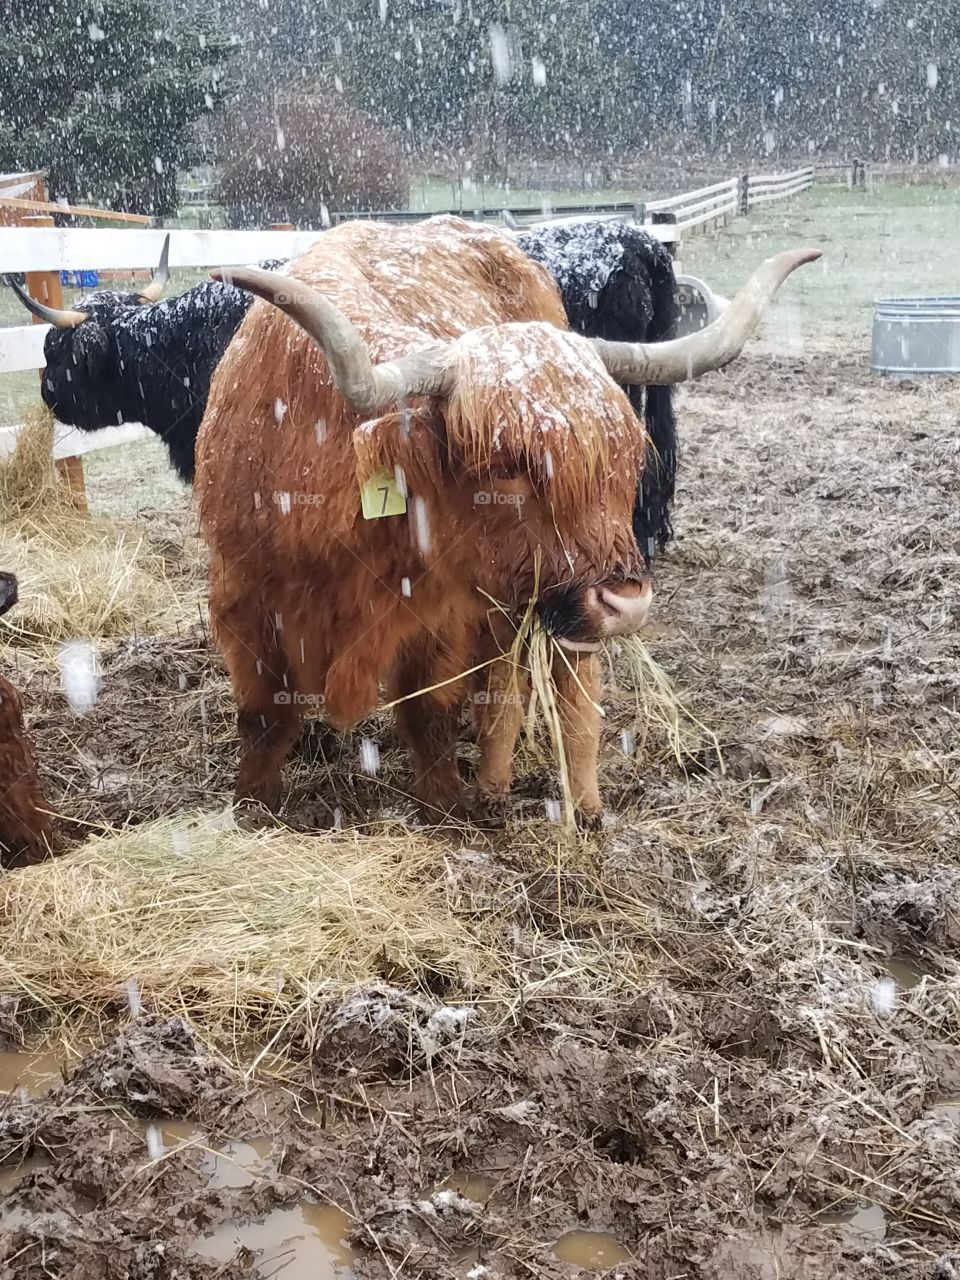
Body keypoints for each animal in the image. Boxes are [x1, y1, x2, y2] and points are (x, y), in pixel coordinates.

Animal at [195, 217, 817, 822]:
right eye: (503, 468)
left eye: (624, 456)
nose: (628, 602)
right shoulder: (240, 597)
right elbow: (264, 715)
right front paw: (253, 806)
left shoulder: (445, 614)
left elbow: (431, 712)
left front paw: (443, 807)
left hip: (558, 598)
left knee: (560, 679)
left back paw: (570, 802)